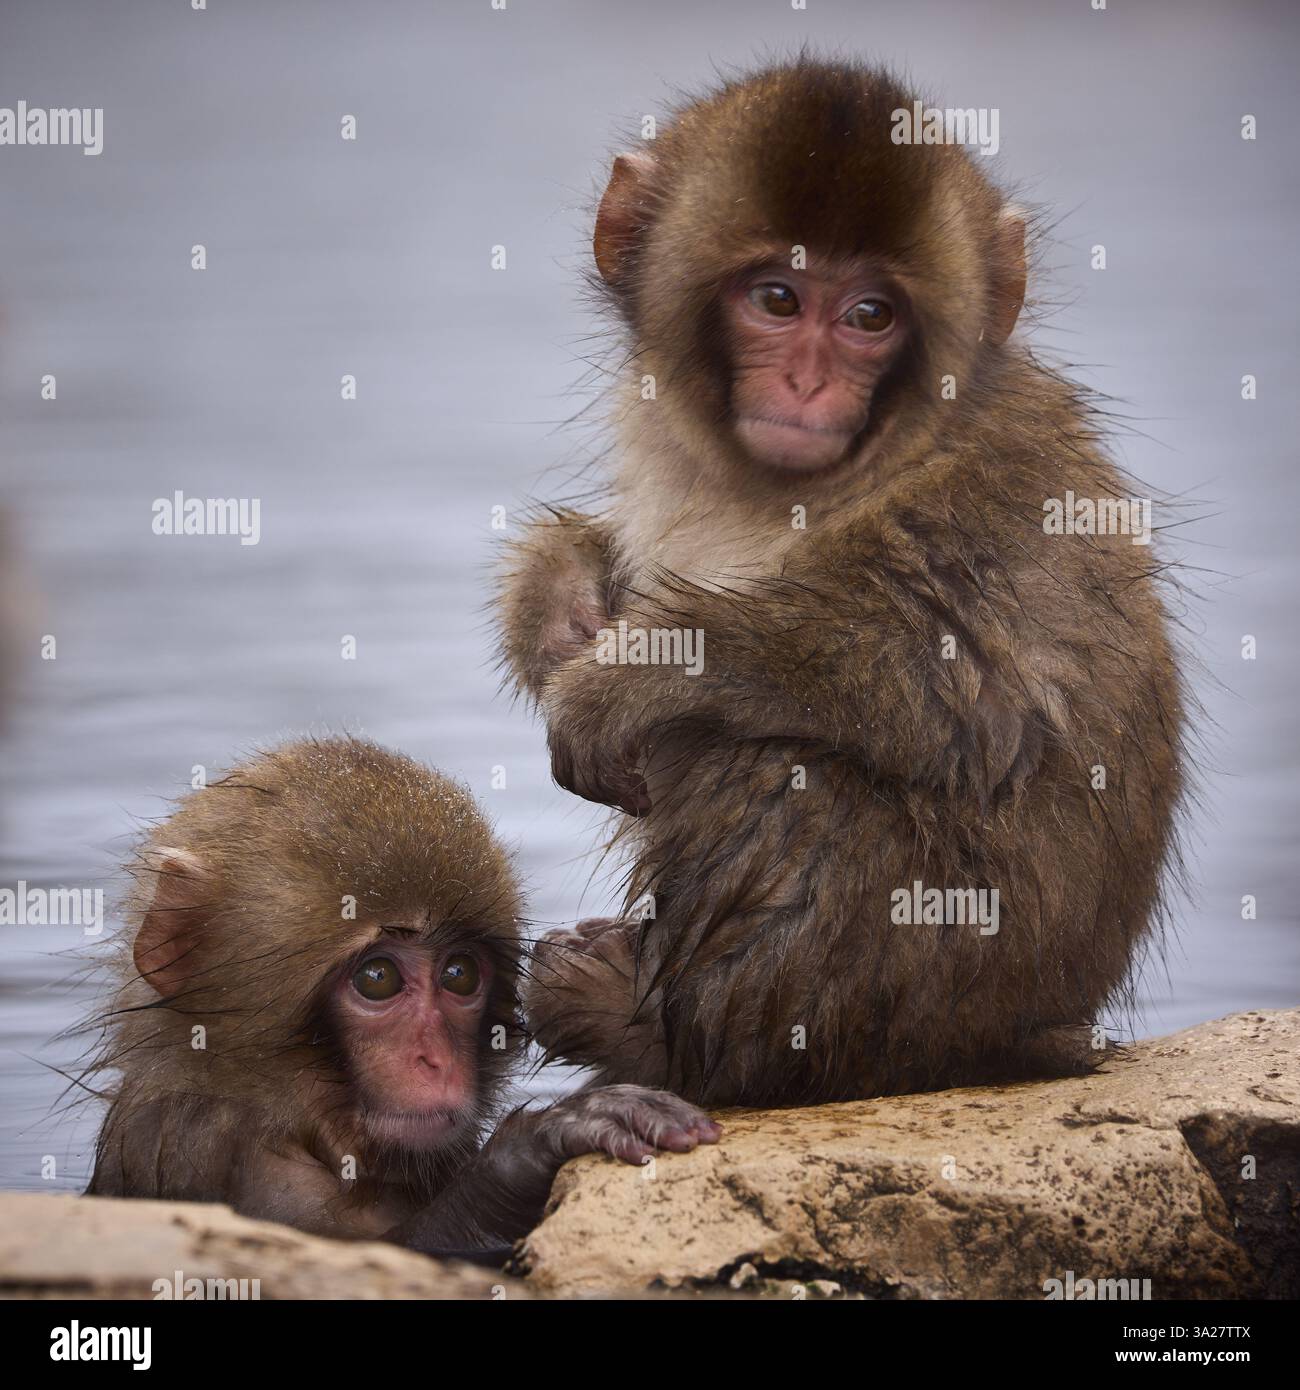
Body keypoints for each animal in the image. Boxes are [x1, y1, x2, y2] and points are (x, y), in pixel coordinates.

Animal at [496, 60, 1186, 1108]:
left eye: (870, 317)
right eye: (778, 298)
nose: (809, 386)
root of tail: (1051, 1028)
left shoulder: (985, 495)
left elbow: (954, 692)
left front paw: (624, 676)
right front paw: (560, 603)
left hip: (932, 983)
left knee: (775, 768)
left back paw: (671, 1044)